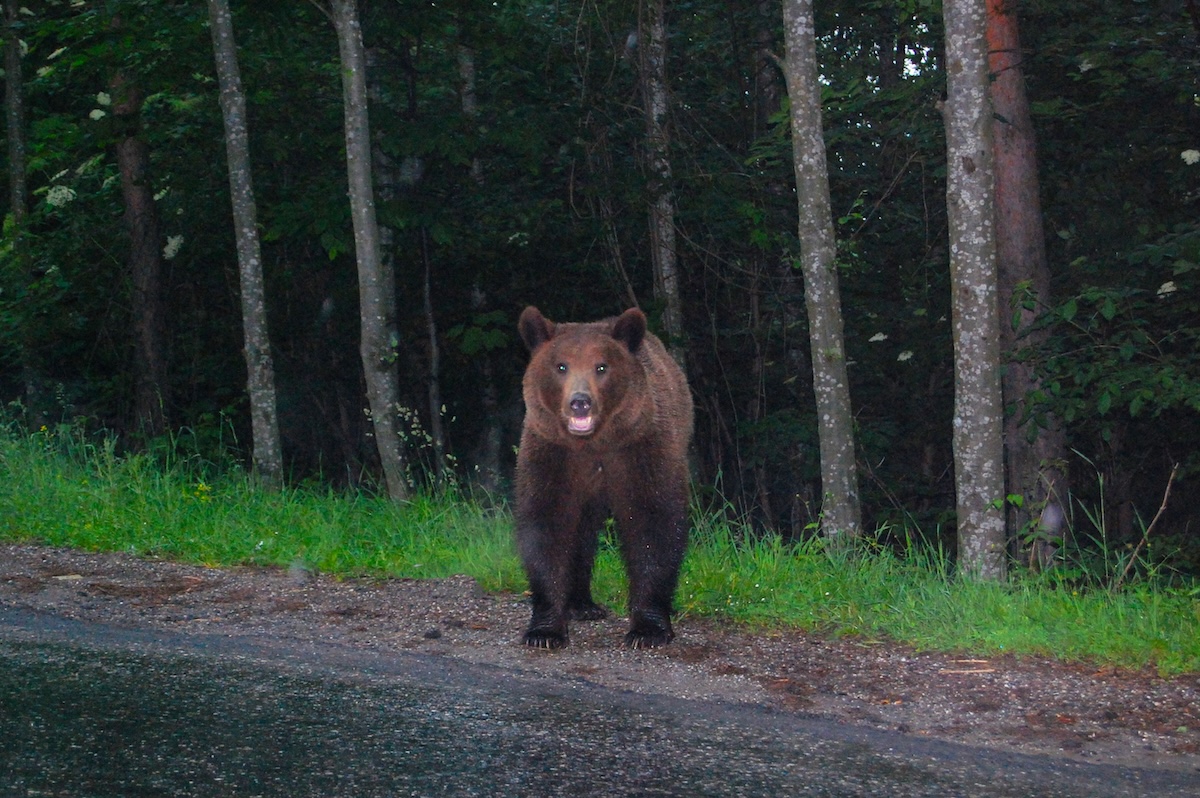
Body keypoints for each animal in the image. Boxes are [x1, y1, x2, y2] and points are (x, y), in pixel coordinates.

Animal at [515, 305, 693, 649]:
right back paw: (581, 604)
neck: (593, 444)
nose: (580, 401)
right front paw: (544, 630)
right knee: (582, 532)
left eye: (601, 366)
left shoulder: (639, 449)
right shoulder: (553, 454)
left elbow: (654, 522)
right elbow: (546, 524)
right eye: (561, 366)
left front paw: (648, 629)